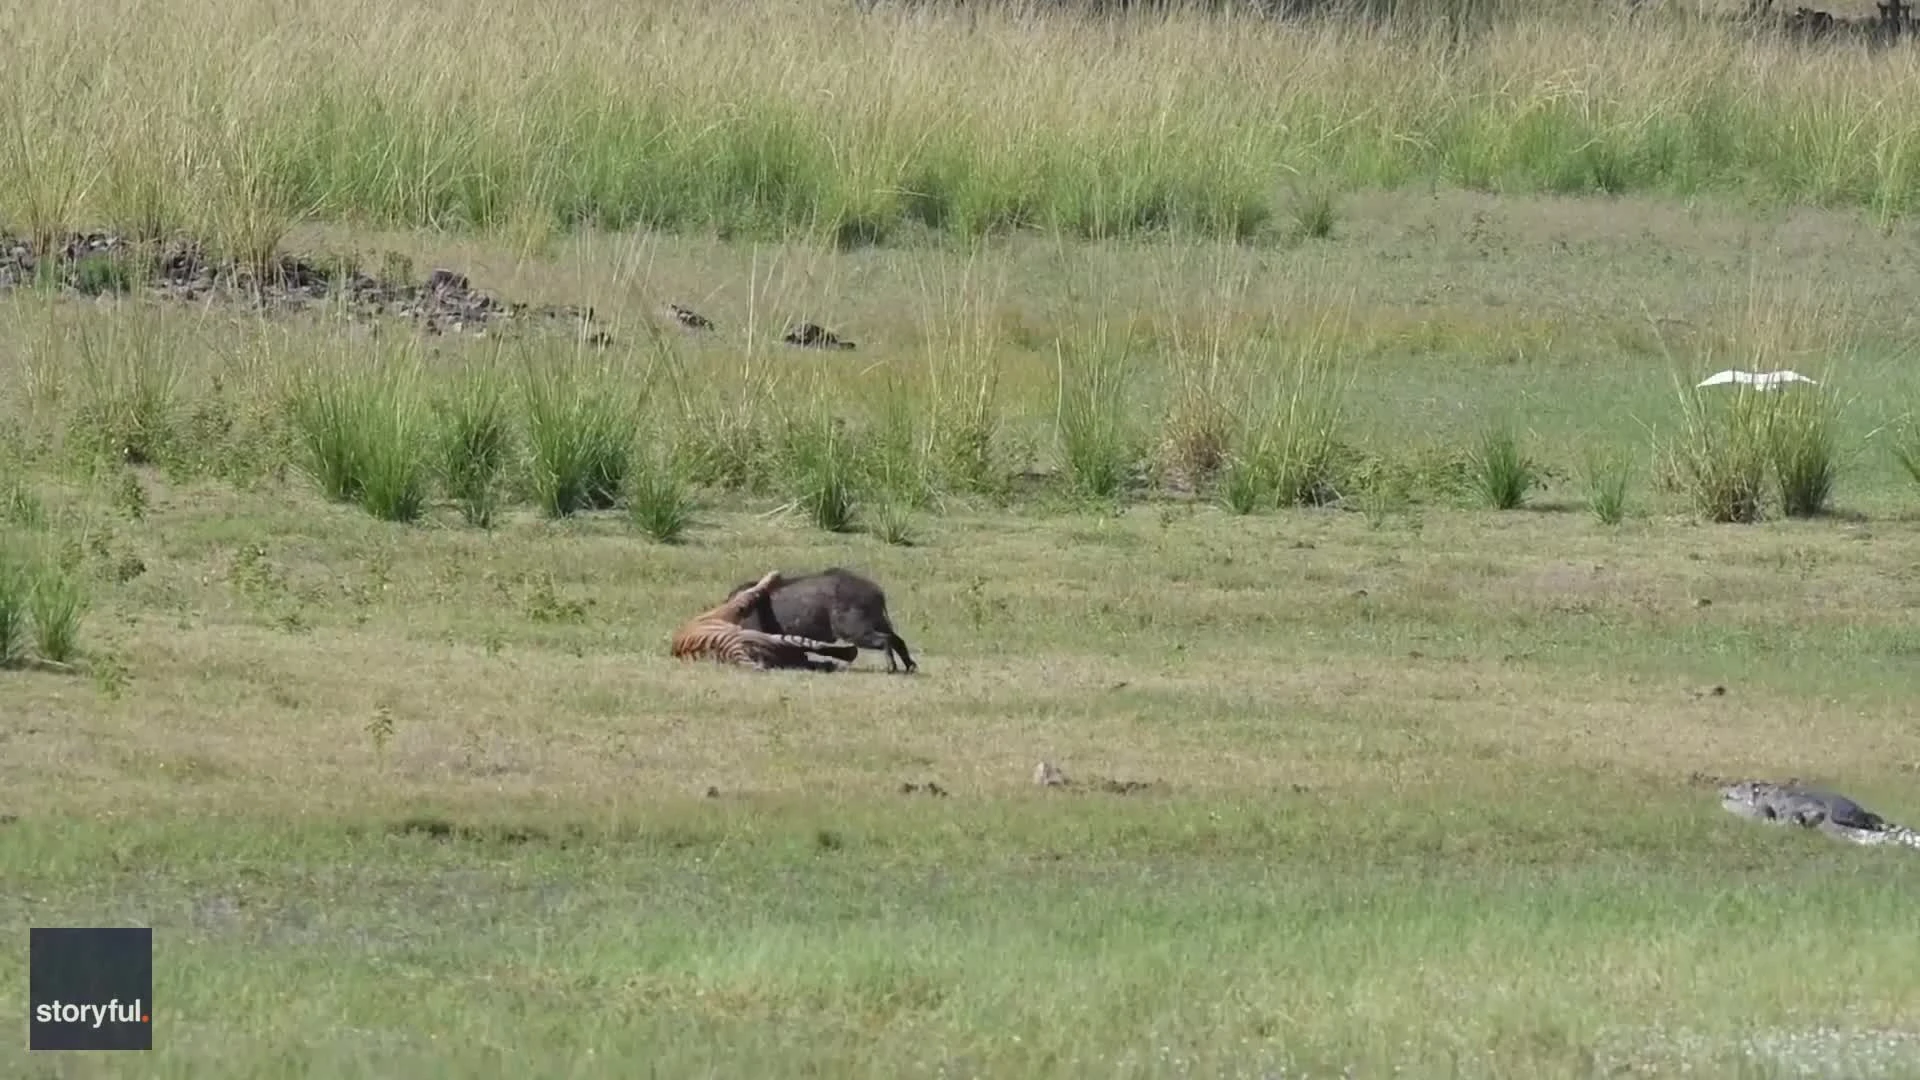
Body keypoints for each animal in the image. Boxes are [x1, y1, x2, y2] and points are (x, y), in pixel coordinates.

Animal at [669, 569, 860, 671]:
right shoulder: (737, 606)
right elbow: (754, 590)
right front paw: (774, 575)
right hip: (773, 638)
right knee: (816, 646)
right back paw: (848, 653)